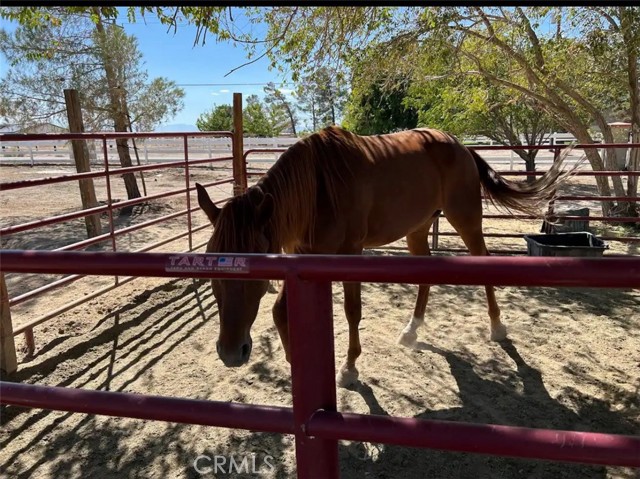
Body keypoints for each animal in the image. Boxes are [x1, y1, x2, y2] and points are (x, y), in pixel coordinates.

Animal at [196, 125, 576, 388]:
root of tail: (461, 146)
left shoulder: (348, 253)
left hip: (465, 219)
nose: (231, 353)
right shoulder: (300, 257)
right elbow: (280, 312)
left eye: (254, 276)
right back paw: (411, 331)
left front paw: (349, 369)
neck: (318, 187)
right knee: (426, 274)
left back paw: (497, 327)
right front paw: (295, 364)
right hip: (418, 228)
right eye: (211, 271)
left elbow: (352, 311)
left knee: (482, 263)